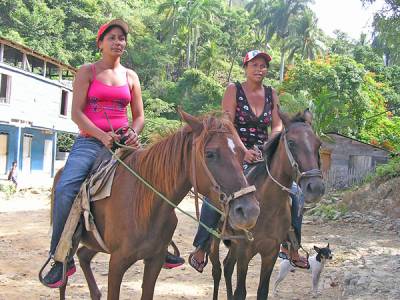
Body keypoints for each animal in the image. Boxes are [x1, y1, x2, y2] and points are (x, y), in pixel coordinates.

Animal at [51, 110, 260, 300]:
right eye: (210, 154)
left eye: (243, 154)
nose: (249, 211)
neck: (145, 205)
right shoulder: (117, 263)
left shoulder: (155, 261)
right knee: (64, 276)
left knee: (83, 255)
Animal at [209, 111, 324, 298]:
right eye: (291, 143)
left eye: (318, 144)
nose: (316, 188)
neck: (267, 207)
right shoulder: (244, 251)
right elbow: (241, 292)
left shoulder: (270, 253)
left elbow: (262, 291)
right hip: (216, 239)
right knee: (217, 270)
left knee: (227, 267)